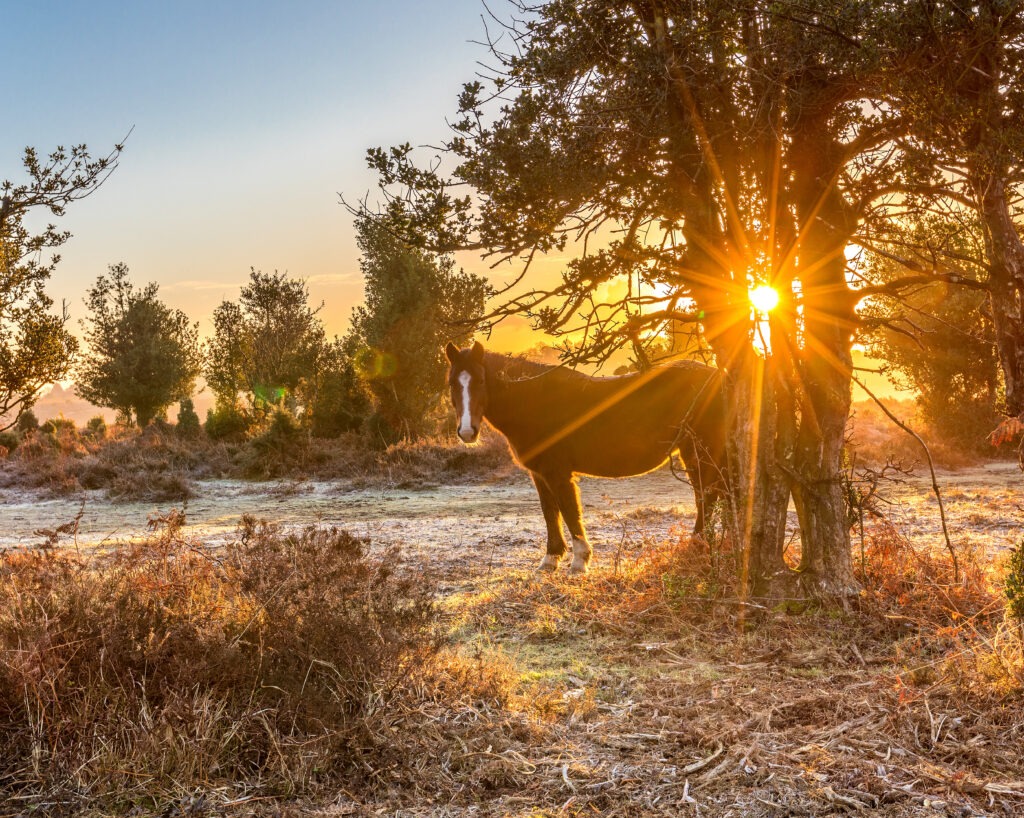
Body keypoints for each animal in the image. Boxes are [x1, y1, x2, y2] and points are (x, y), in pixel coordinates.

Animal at [444, 341, 728, 575]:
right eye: (452, 384)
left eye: (481, 381)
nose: (467, 432)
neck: (535, 402)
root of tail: (719, 377)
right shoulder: (539, 474)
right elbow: (550, 512)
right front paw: (551, 559)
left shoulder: (558, 473)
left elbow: (569, 511)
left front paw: (580, 561)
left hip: (699, 451)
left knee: (706, 496)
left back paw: (697, 545)